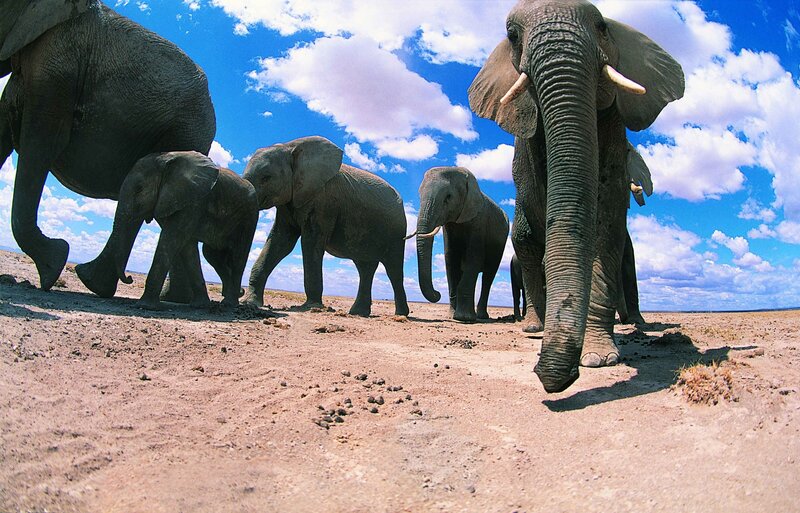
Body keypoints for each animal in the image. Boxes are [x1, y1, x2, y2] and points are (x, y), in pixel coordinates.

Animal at [0, 0, 216, 297]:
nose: (131, 279)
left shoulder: (60, 60)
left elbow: (43, 139)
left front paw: (52, 264)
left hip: (185, 129)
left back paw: (96, 283)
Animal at [77, 151, 258, 310]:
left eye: (140, 189)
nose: (129, 278)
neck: (168, 159)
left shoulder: (195, 201)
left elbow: (171, 239)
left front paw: (146, 307)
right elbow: (187, 247)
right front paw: (200, 306)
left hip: (249, 217)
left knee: (237, 257)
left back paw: (229, 304)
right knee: (211, 255)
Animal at [242, 136, 409, 318]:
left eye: (266, 178)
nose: (240, 294)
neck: (290, 147)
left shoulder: (324, 201)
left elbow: (309, 243)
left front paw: (311, 307)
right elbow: (280, 242)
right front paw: (251, 303)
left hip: (397, 230)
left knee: (393, 269)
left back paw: (401, 315)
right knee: (365, 268)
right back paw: (358, 313)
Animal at [412, 166, 509, 322]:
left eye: (448, 197)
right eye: (419, 196)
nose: (437, 294)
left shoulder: (479, 221)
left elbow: (473, 259)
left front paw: (464, 318)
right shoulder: (449, 227)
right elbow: (451, 261)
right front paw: (452, 316)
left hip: (500, 245)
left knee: (488, 277)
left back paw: (481, 316)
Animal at [469, 0, 684, 392]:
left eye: (600, 25)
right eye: (512, 36)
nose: (549, 376)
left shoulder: (615, 127)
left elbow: (607, 220)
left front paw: (599, 358)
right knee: (528, 245)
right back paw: (534, 328)